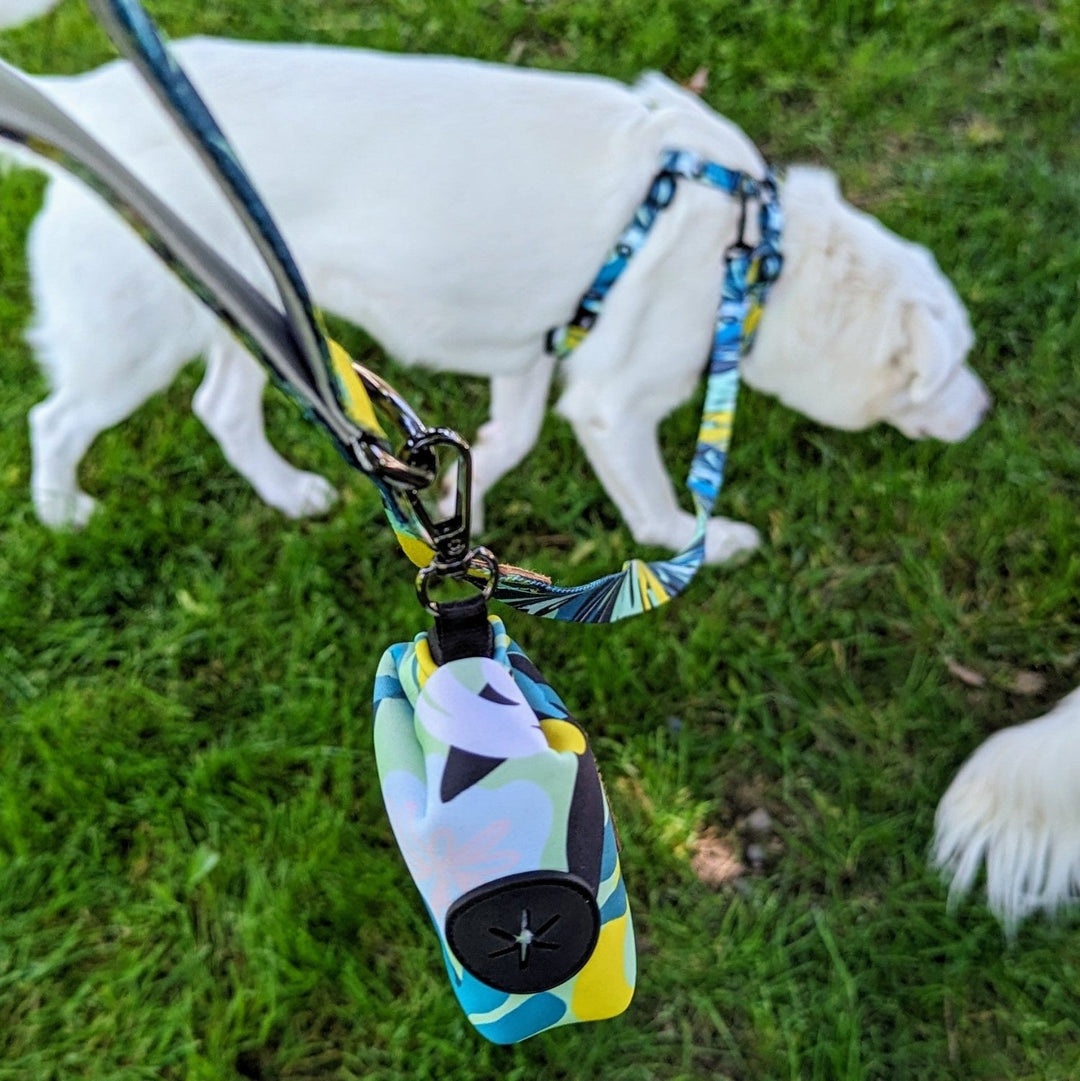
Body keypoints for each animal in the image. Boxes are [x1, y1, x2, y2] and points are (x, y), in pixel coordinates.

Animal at [10, 34, 990, 562]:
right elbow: (654, 510)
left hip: (258, 314)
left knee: (218, 408)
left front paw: (451, 509)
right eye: (951, 370)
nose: (983, 412)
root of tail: (88, 99)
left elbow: (501, 443)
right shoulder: (613, 405)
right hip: (132, 343)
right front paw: (697, 542)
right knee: (53, 421)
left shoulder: (534, 354)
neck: (759, 257)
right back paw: (61, 513)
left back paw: (288, 494)